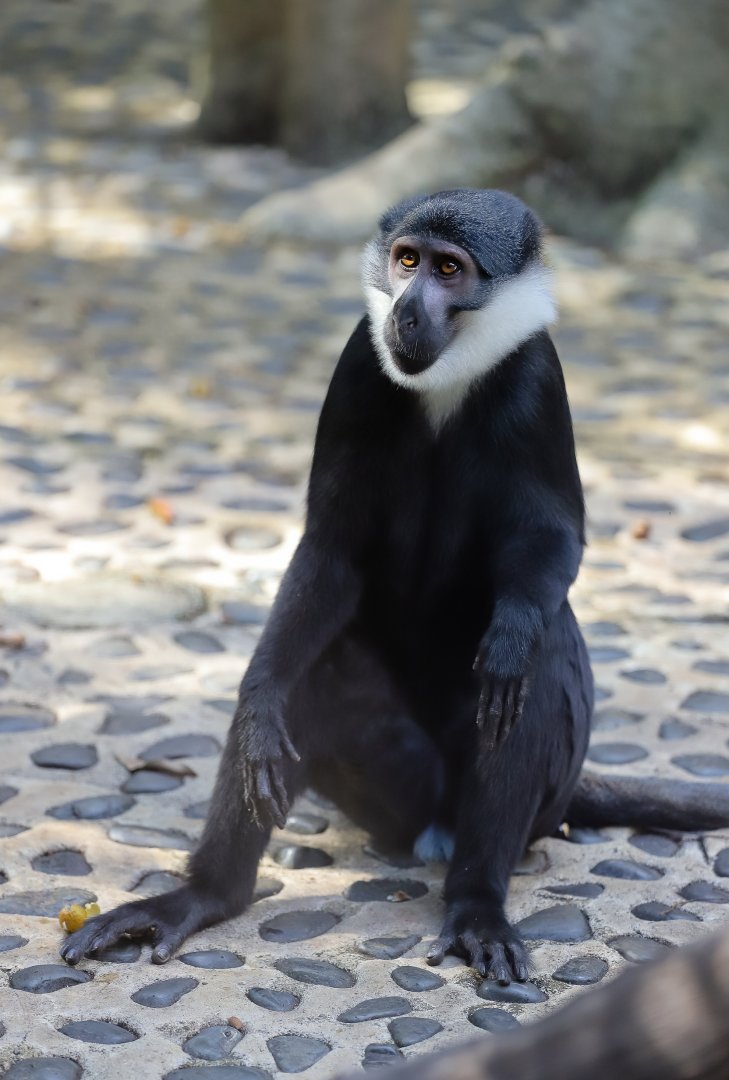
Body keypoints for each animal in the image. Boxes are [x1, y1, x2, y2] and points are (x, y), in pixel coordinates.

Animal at [60, 189, 729, 983]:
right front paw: (257, 701)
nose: (406, 311)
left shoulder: (537, 374)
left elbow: (554, 541)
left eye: (448, 270)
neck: (445, 382)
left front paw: (509, 638)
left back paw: (476, 903)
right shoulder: (359, 360)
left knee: (535, 669)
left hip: (531, 800)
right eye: (406, 261)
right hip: (392, 794)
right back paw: (205, 895)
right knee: (314, 677)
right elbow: (330, 552)